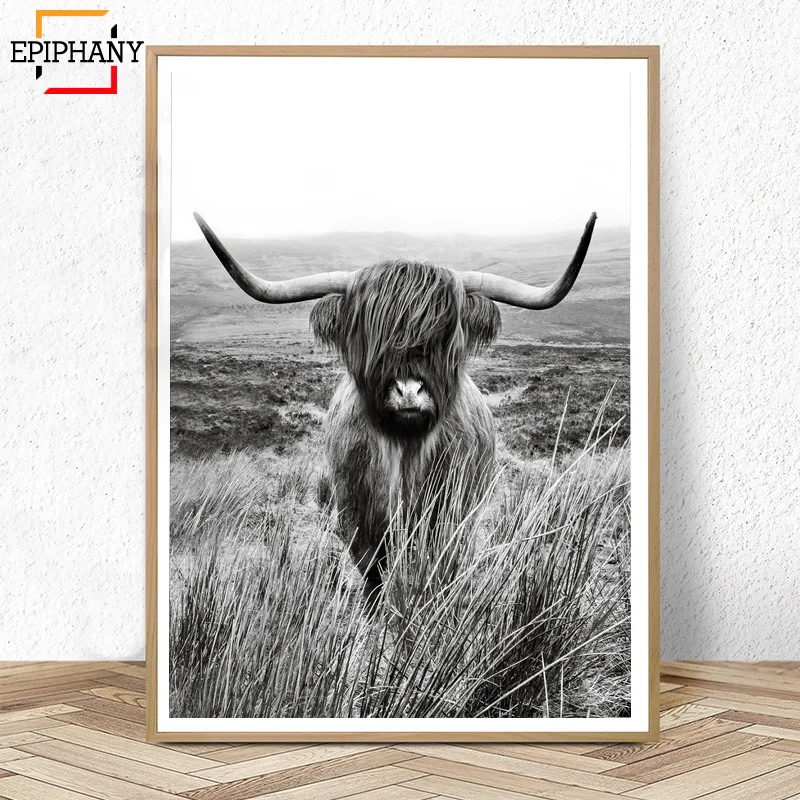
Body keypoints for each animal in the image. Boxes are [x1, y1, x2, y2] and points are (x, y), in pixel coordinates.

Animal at [193, 211, 597, 601]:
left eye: (445, 336)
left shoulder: (452, 516)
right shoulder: (358, 517)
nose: (408, 390)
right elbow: (373, 573)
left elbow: (438, 571)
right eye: (372, 335)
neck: (405, 450)